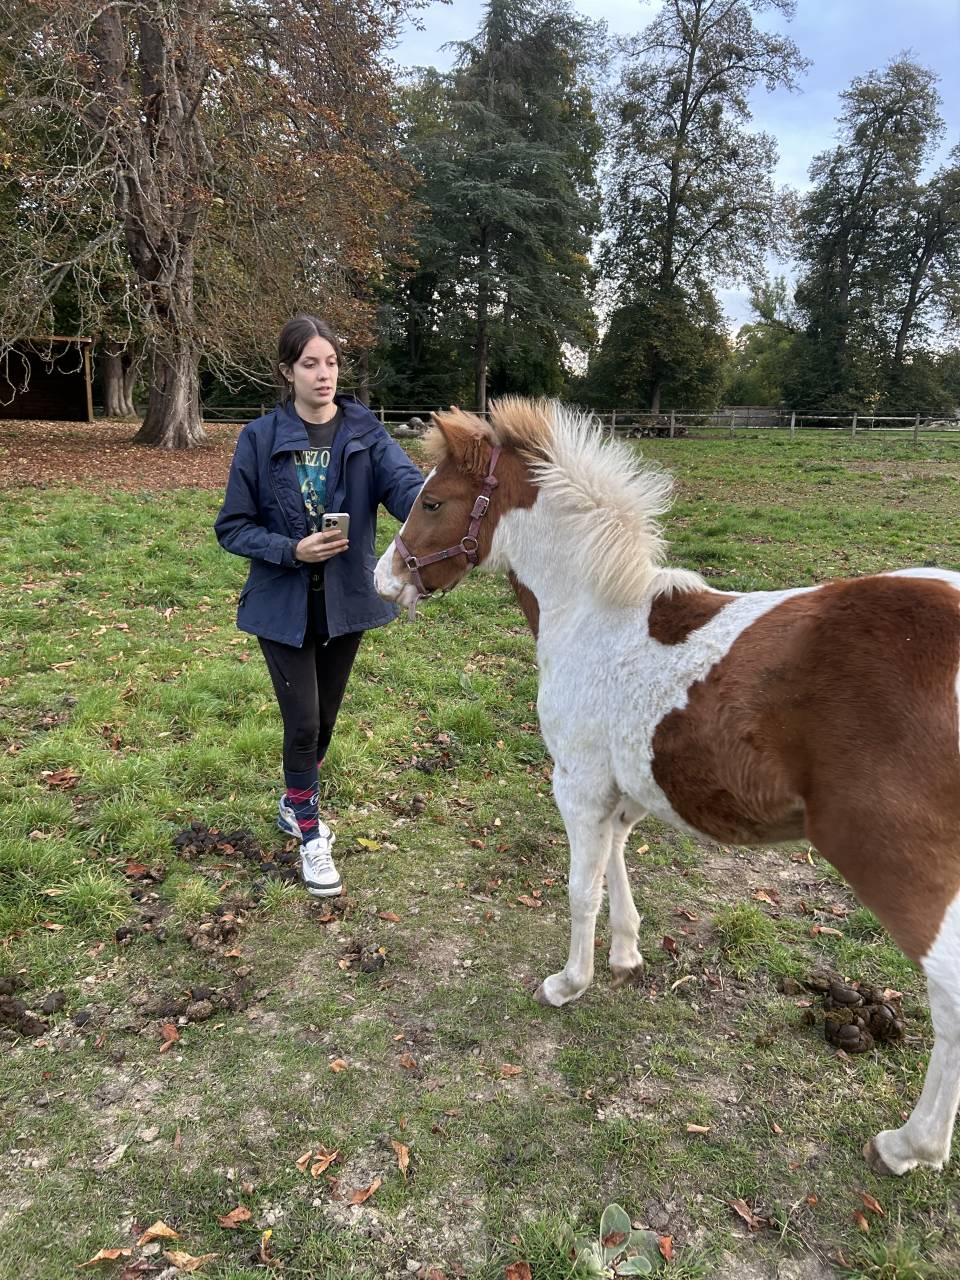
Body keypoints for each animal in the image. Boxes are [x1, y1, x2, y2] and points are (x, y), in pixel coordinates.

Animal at [374, 396, 960, 1177]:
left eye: (433, 501)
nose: (383, 579)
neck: (597, 616)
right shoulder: (622, 791)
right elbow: (618, 866)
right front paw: (625, 956)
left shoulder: (577, 783)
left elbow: (581, 889)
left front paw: (570, 983)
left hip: (897, 864)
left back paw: (908, 1146)